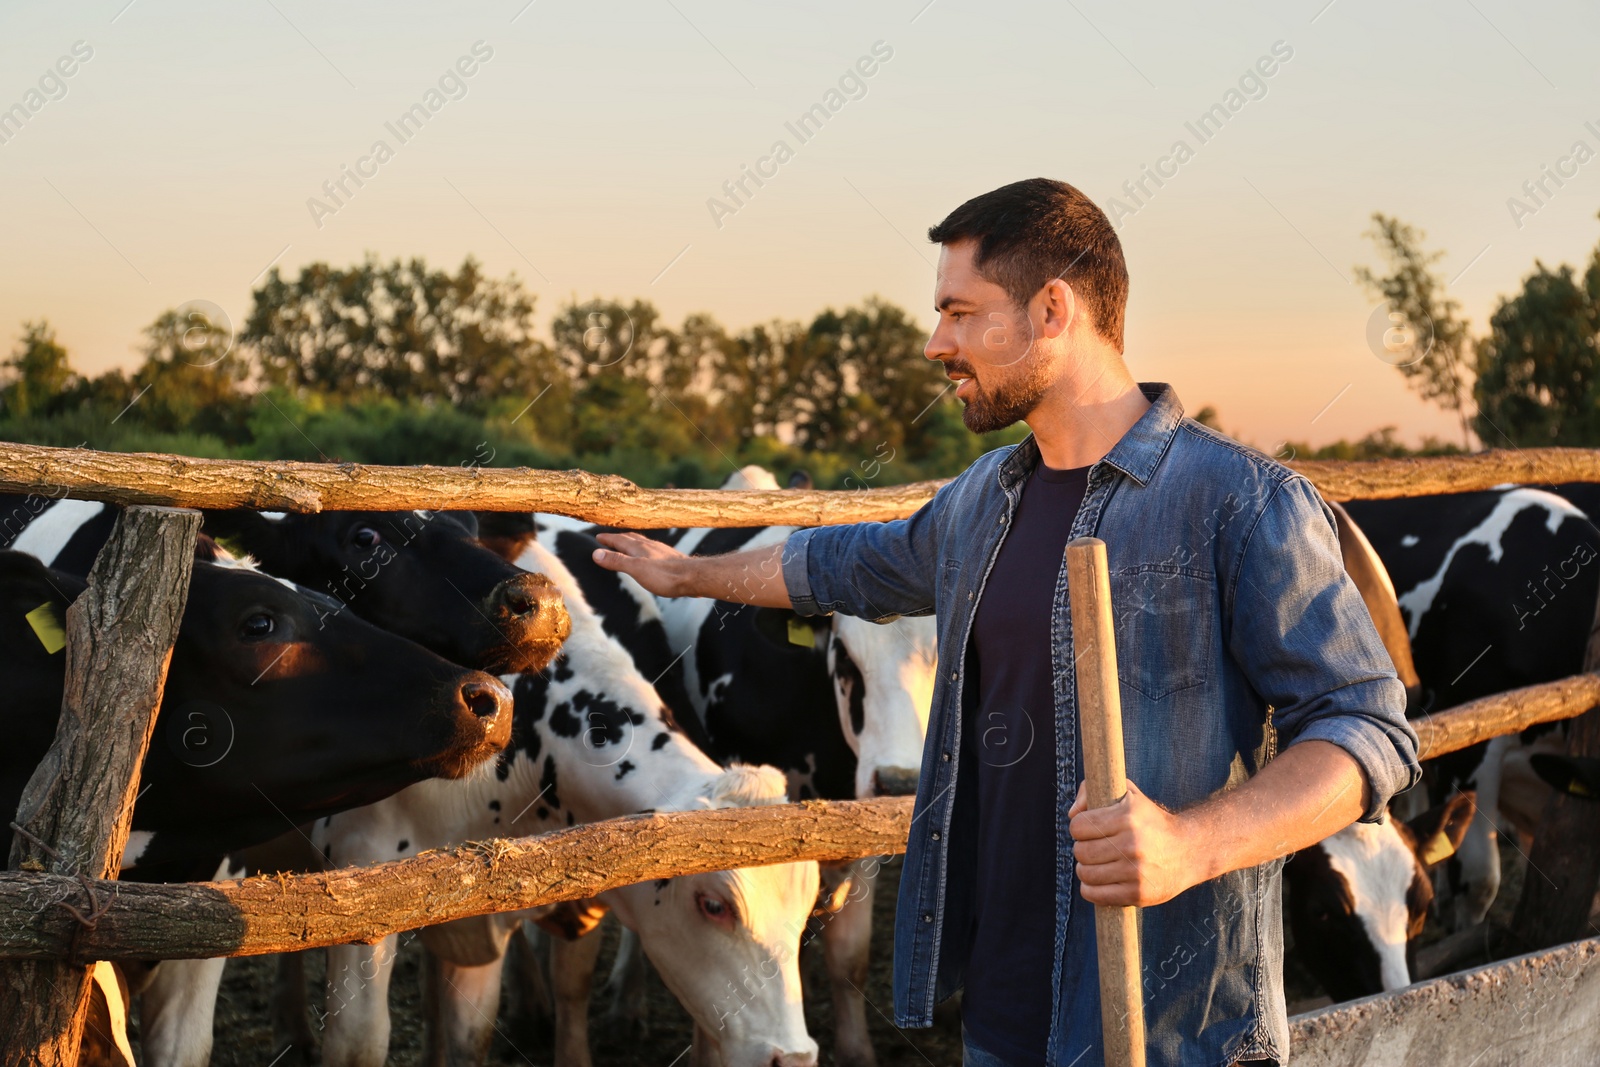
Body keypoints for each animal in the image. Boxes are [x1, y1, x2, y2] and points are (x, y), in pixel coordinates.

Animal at [307, 537, 825, 1067]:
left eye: (808, 903)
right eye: (714, 905)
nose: (794, 1056)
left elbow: (507, 1017)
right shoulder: (355, 882)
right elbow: (358, 1040)